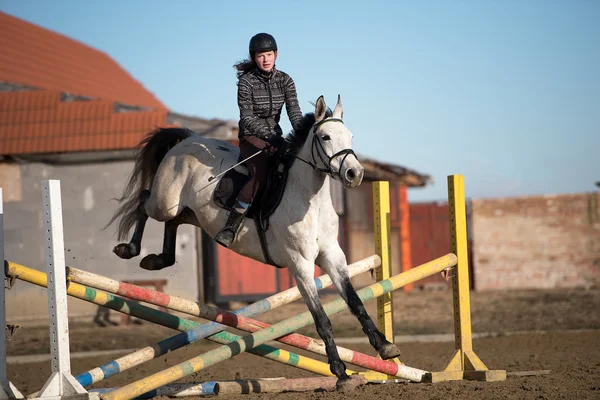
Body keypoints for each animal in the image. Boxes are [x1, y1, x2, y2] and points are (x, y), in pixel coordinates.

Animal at [106, 95, 400, 390]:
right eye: (325, 136)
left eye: (350, 136)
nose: (355, 174)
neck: (310, 201)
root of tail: (187, 140)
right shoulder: (300, 266)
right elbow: (322, 320)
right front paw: (341, 373)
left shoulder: (333, 257)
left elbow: (355, 302)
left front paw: (385, 347)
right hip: (165, 202)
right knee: (144, 202)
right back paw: (128, 249)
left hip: (190, 213)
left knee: (173, 222)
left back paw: (157, 260)